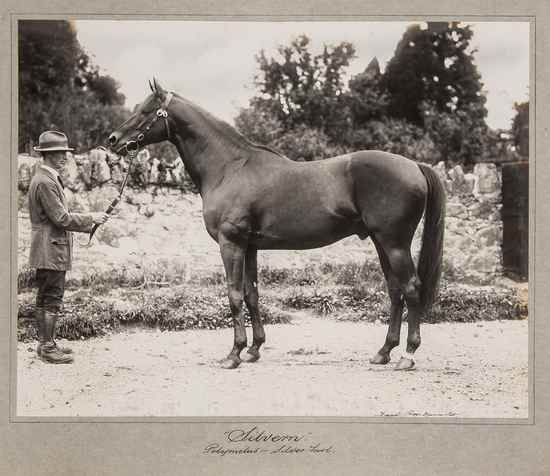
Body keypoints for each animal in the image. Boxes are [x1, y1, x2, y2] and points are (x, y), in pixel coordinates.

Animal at [109, 79, 448, 372]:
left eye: (146, 111)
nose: (113, 141)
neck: (229, 167)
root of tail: (414, 165)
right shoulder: (249, 247)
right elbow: (251, 294)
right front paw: (254, 349)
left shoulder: (231, 243)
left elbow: (234, 294)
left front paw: (233, 354)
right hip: (382, 243)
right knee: (395, 290)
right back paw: (383, 352)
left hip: (394, 244)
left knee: (411, 288)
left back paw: (407, 355)